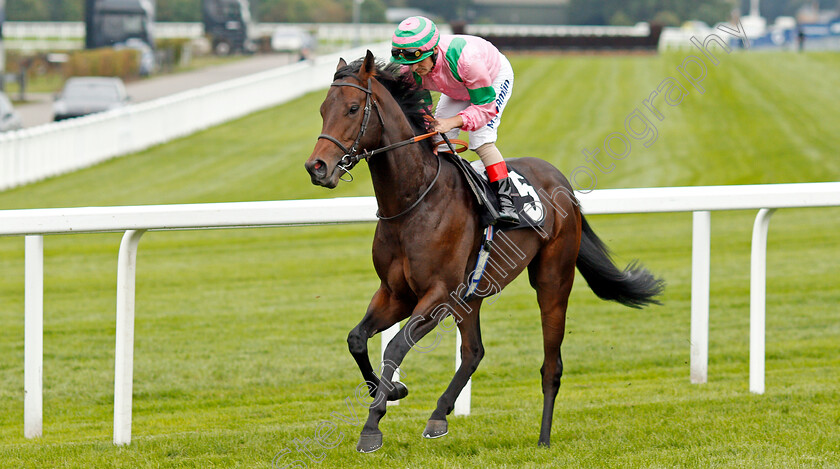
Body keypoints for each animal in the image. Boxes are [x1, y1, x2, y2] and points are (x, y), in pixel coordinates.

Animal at [306, 52, 668, 454]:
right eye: (323, 109)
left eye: (353, 108)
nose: (316, 167)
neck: (412, 202)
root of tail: (562, 183)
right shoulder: (396, 293)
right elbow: (357, 339)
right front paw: (393, 391)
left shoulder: (439, 294)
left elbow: (396, 347)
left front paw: (373, 424)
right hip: (473, 294)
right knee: (473, 352)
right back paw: (439, 415)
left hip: (553, 280)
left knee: (551, 365)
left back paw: (543, 438)